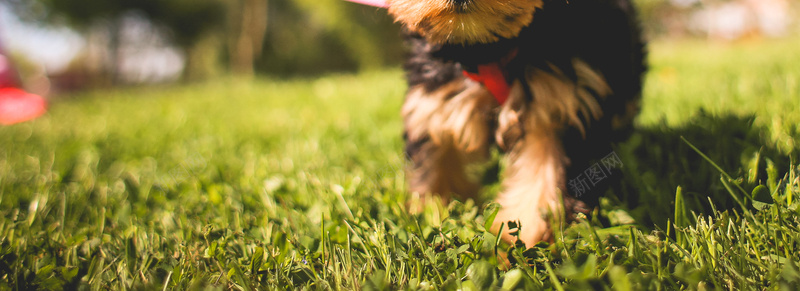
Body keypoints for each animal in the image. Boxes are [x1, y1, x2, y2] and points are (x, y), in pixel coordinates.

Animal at [390, 0, 648, 248]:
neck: (483, 47)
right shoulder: (433, 98)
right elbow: (435, 160)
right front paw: (430, 212)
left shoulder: (557, 99)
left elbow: (545, 172)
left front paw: (526, 238)